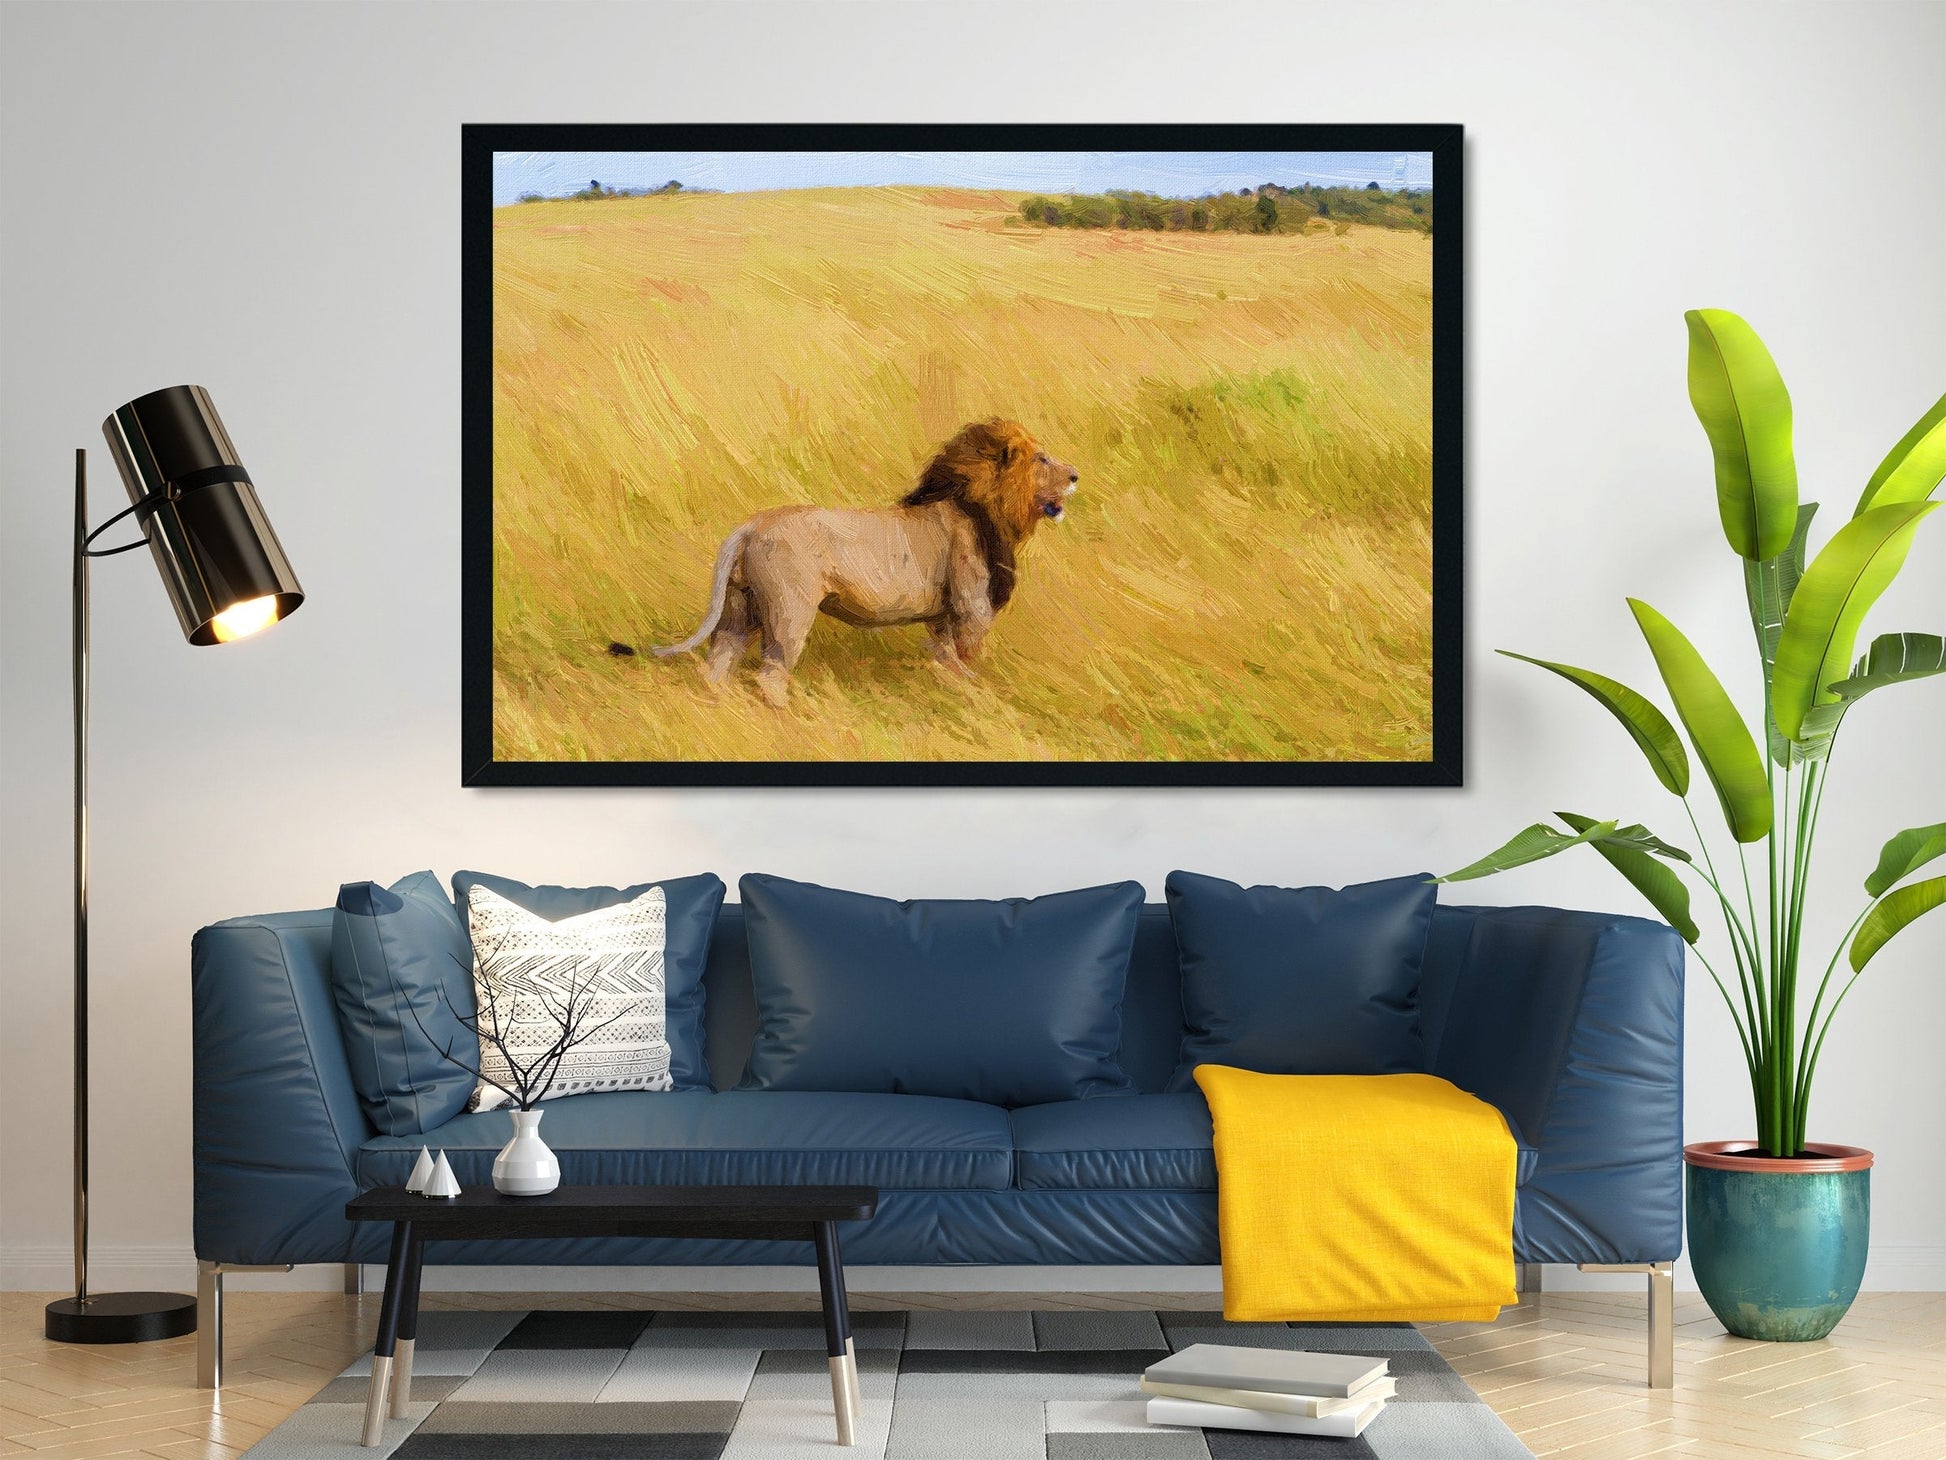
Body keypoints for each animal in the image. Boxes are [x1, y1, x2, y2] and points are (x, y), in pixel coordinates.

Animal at [624, 419, 1078, 707]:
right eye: (1040, 459)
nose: (1075, 475)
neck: (979, 505)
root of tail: (749, 527)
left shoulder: (944, 614)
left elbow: (945, 656)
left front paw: (951, 687)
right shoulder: (971, 604)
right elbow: (969, 655)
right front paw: (978, 693)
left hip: (741, 608)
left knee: (718, 663)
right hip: (789, 612)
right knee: (770, 675)